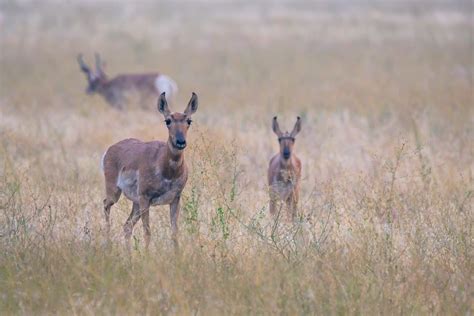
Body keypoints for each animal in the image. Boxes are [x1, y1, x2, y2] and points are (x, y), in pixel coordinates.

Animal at [101, 91, 197, 249]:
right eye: (167, 121)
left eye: (189, 121)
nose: (180, 141)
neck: (167, 171)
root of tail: (111, 148)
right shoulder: (145, 199)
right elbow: (147, 232)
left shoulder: (175, 200)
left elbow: (174, 232)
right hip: (116, 193)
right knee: (106, 205)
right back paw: (108, 244)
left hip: (136, 203)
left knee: (127, 226)